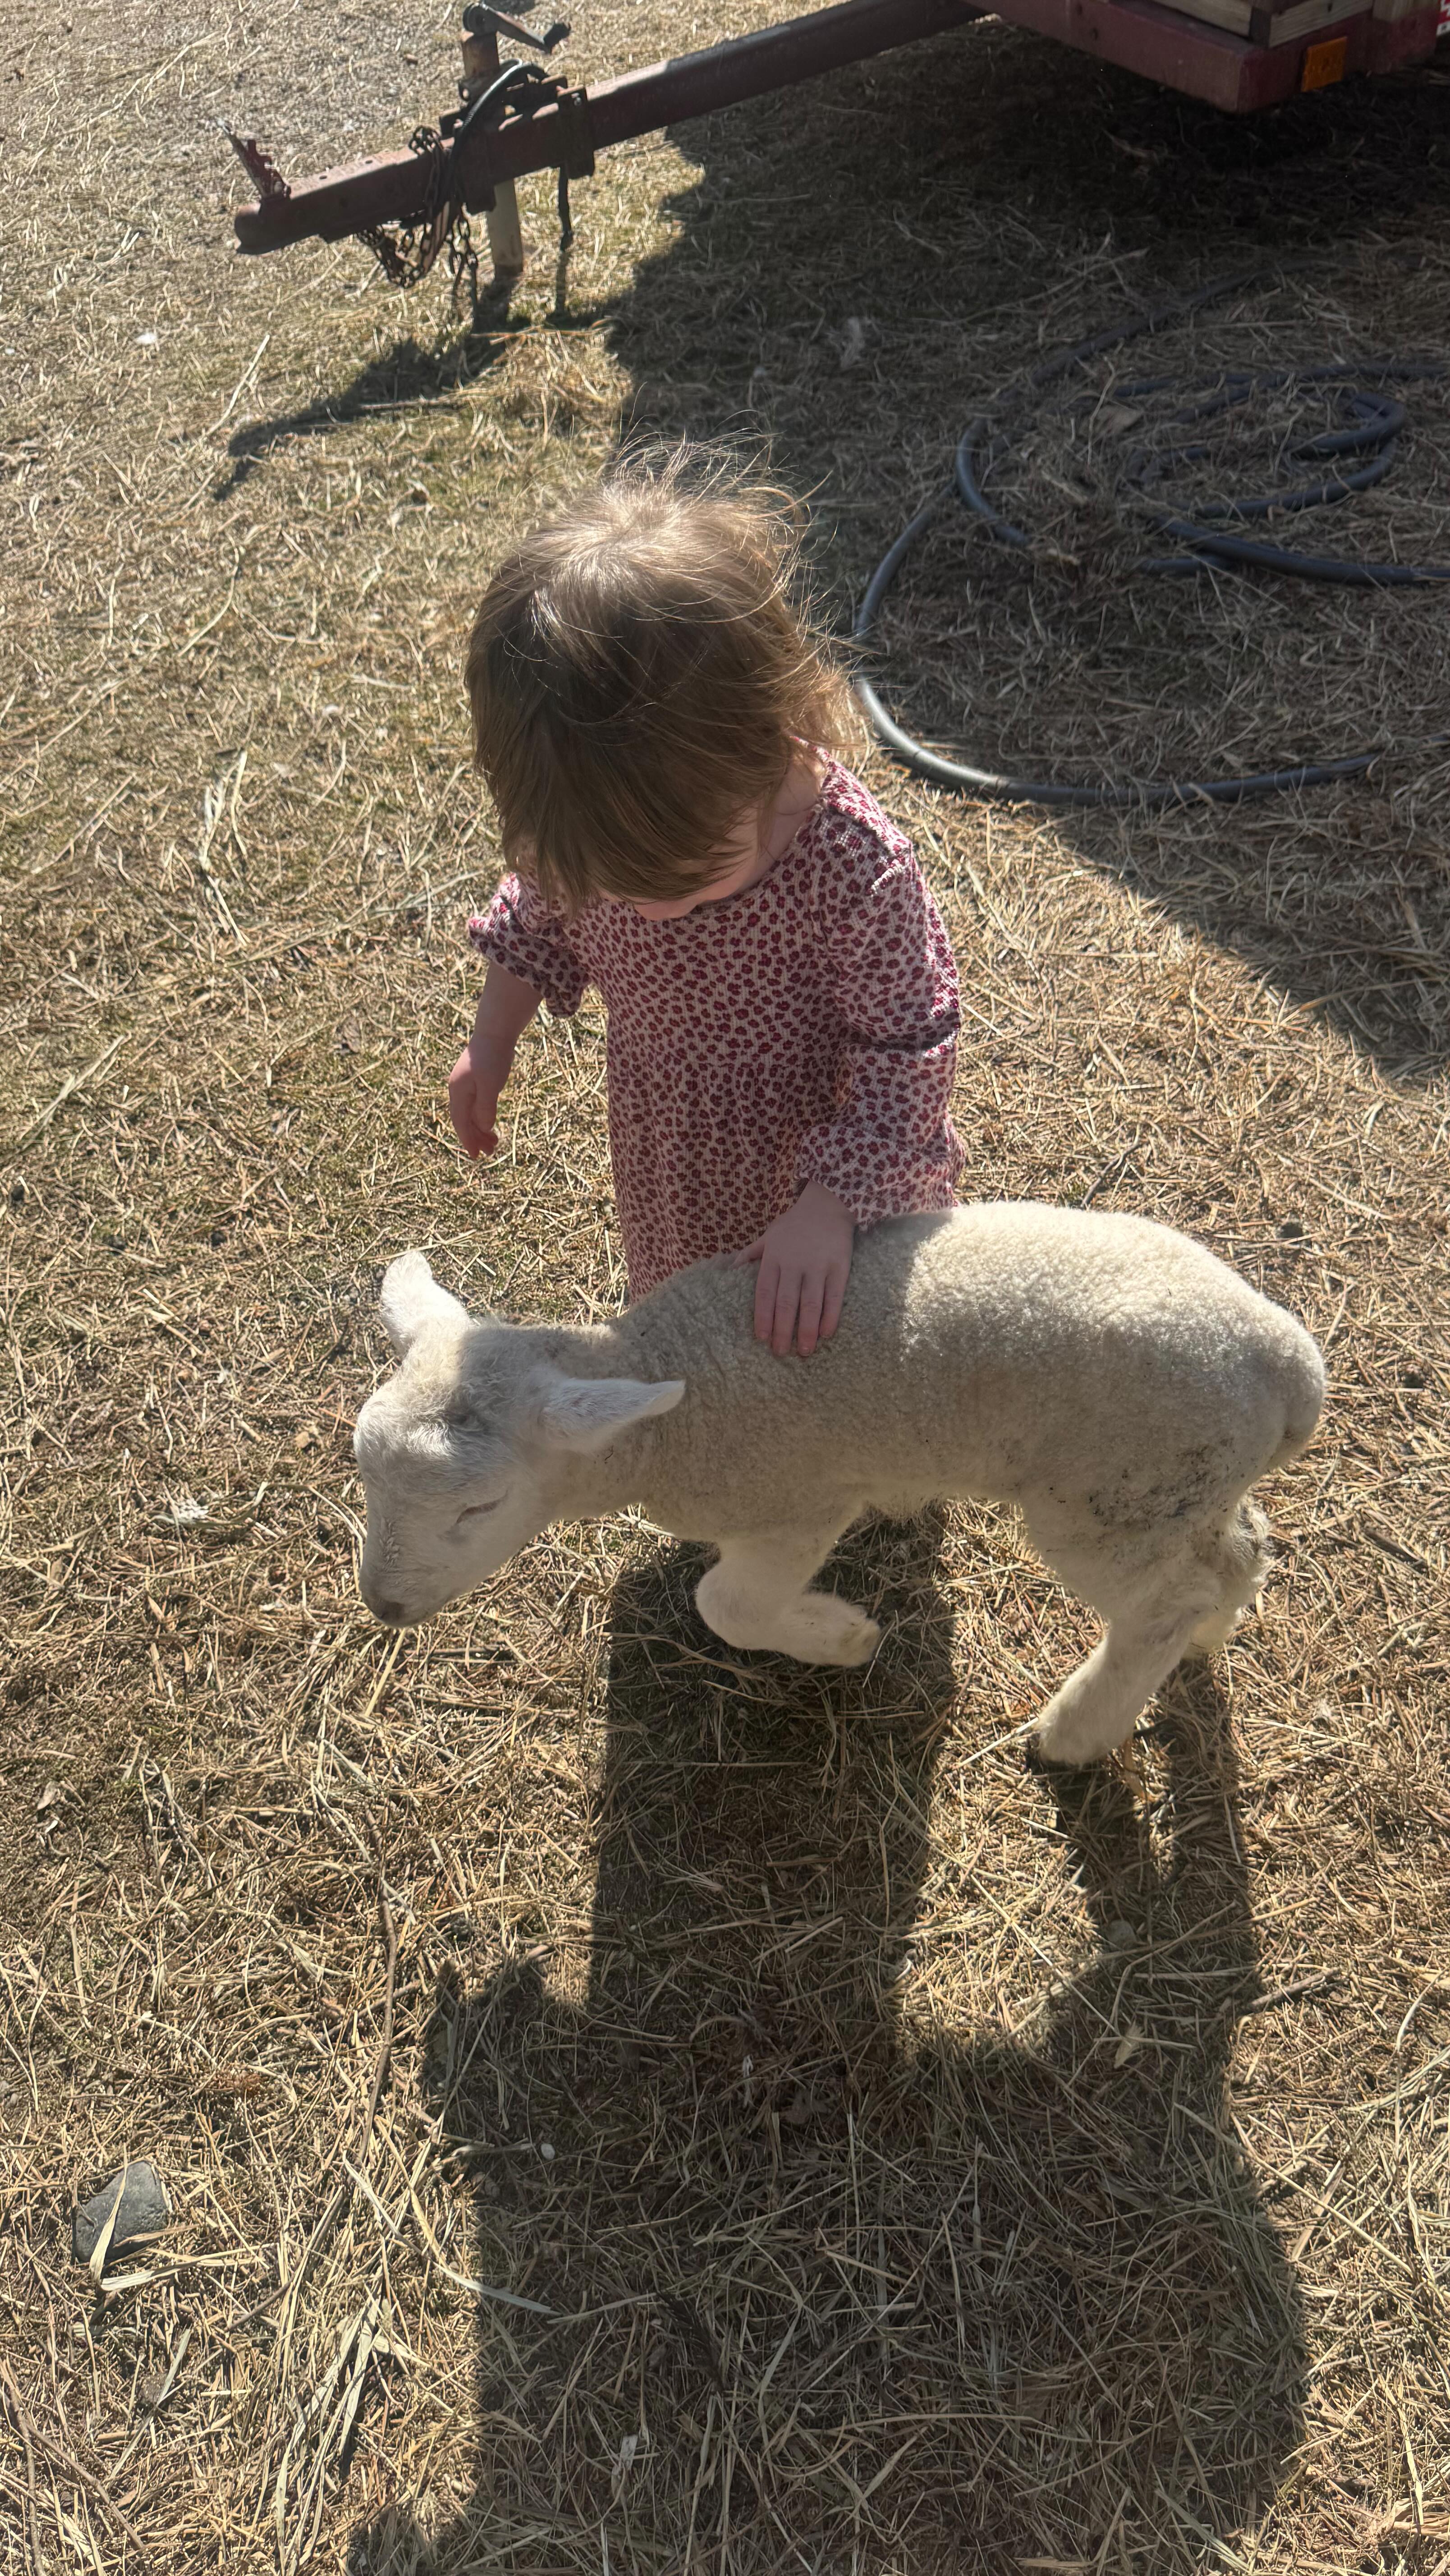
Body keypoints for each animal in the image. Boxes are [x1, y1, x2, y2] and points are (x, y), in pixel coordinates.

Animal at [352, 1204, 1324, 1765]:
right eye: (362, 1472)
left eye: (478, 1506)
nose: (383, 1607)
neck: (666, 1411)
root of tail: (1286, 1364)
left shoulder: (799, 1503)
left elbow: (728, 1605)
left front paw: (845, 1637)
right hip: (1183, 1485)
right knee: (1234, 1558)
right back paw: (1210, 1637)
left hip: (1110, 1490)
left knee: (1165, 1601)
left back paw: (1074, 1734)